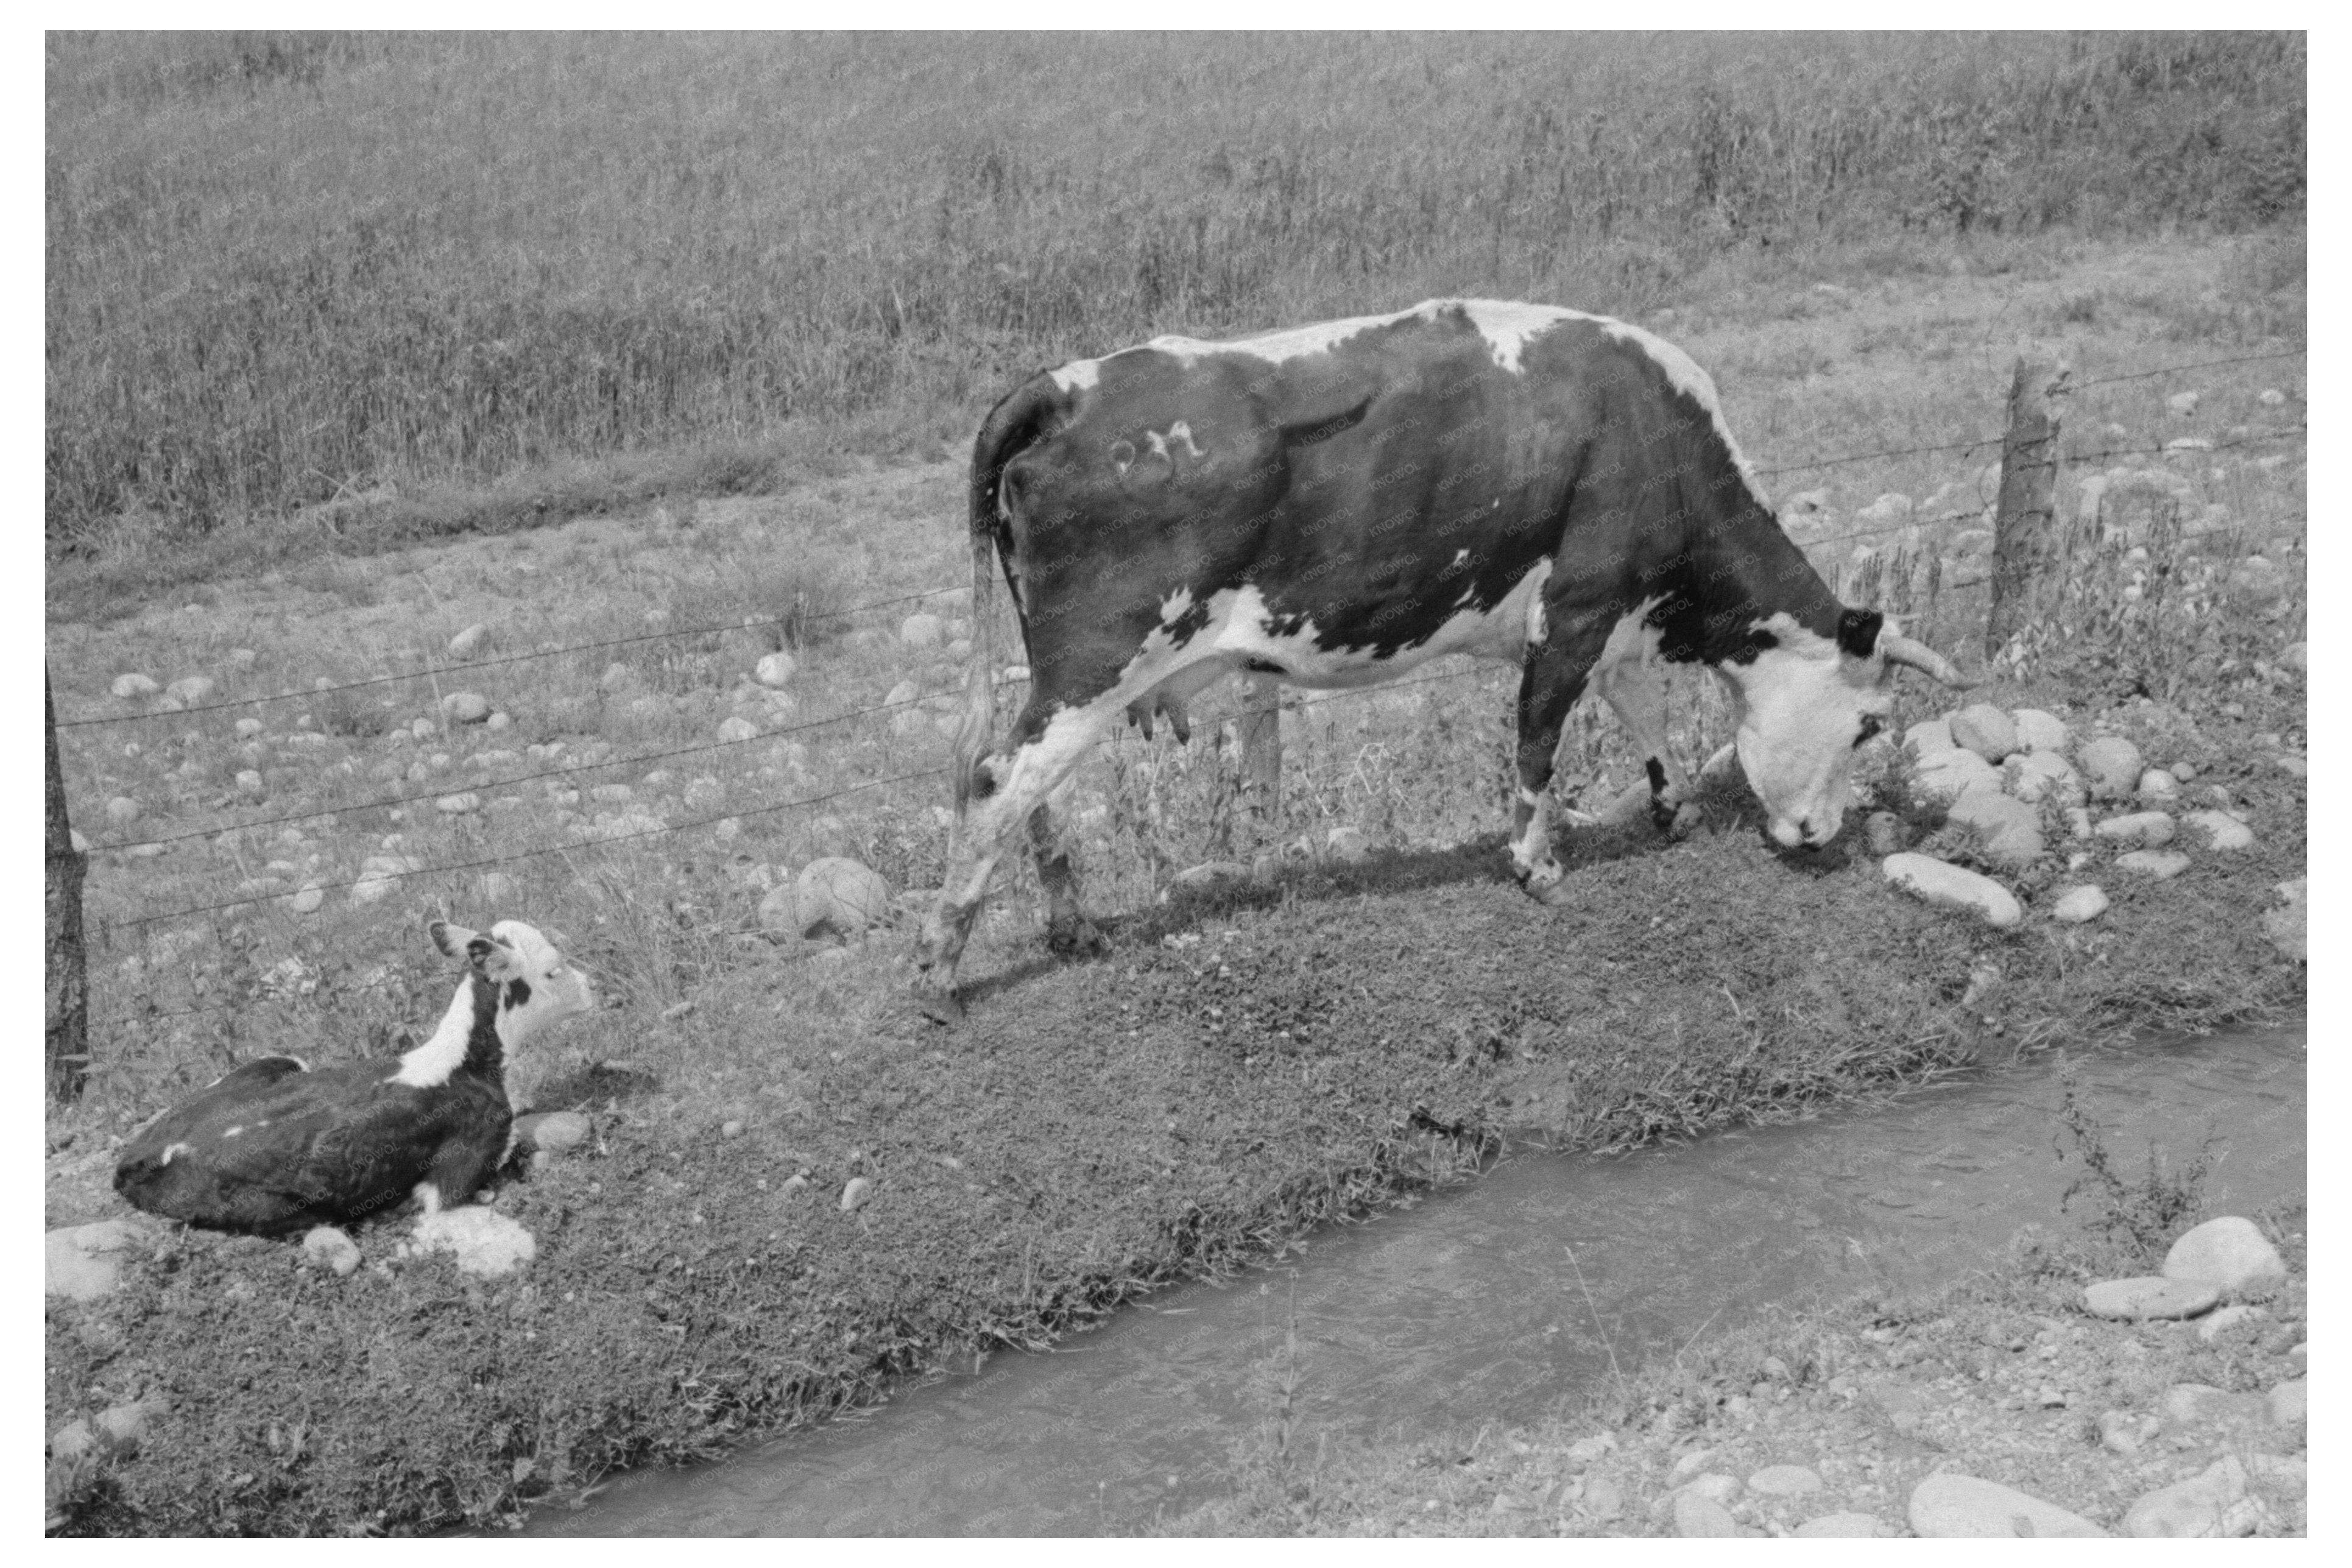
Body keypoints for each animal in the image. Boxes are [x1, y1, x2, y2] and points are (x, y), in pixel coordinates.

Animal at [913, 299, 1972, 1023]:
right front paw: (1535, 862)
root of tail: (1063, 386)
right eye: (1869, 724)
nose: (1820, 835)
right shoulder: (1575, 607)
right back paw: (940, 974)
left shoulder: (1618, 611)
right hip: (1100, 659)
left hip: (1057, 672)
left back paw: (1070, 923)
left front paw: (1673, 807)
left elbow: (1641, 710)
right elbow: (1540, 733)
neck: (1653, 430)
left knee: (1022, 784)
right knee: (998, 781)